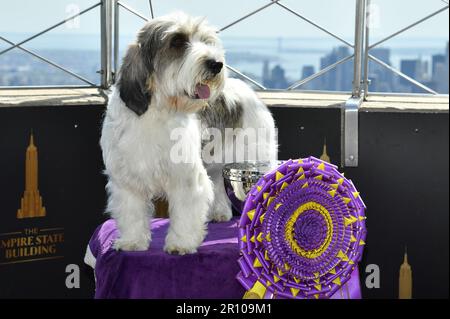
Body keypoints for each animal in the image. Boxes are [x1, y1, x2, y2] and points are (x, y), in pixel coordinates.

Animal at [101, 12, 276, 255]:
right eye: (177, 41)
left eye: (205, 40)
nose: (216, 64)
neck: (158, 111)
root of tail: (249, 91)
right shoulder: (127, 180)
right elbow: (132, 213)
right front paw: (132, 242)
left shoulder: (185, 177)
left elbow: (185, 212)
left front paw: (180, 244)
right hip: (217, 163)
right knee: (217, 183)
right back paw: (219, 212)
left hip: (255, 160)